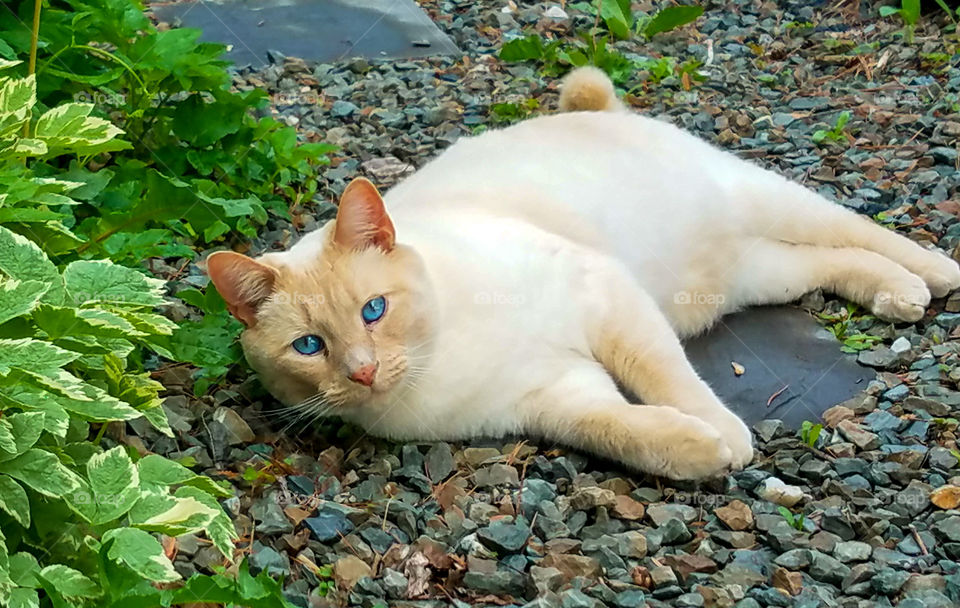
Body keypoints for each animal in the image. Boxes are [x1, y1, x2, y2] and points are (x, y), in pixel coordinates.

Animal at [208, 64, 960, 478]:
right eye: (310, 346)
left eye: (374, 310)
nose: (362, 373)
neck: (439, 356)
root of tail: (599, 110)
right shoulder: (556, 400)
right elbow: (625, 428)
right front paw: (702, 449)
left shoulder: (605, 298)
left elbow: (666, 379)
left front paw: (727, 432)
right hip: (744, 276)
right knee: (828, 262)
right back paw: (898, 294)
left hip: (761, 203)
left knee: (856, 229)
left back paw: (934, 273)